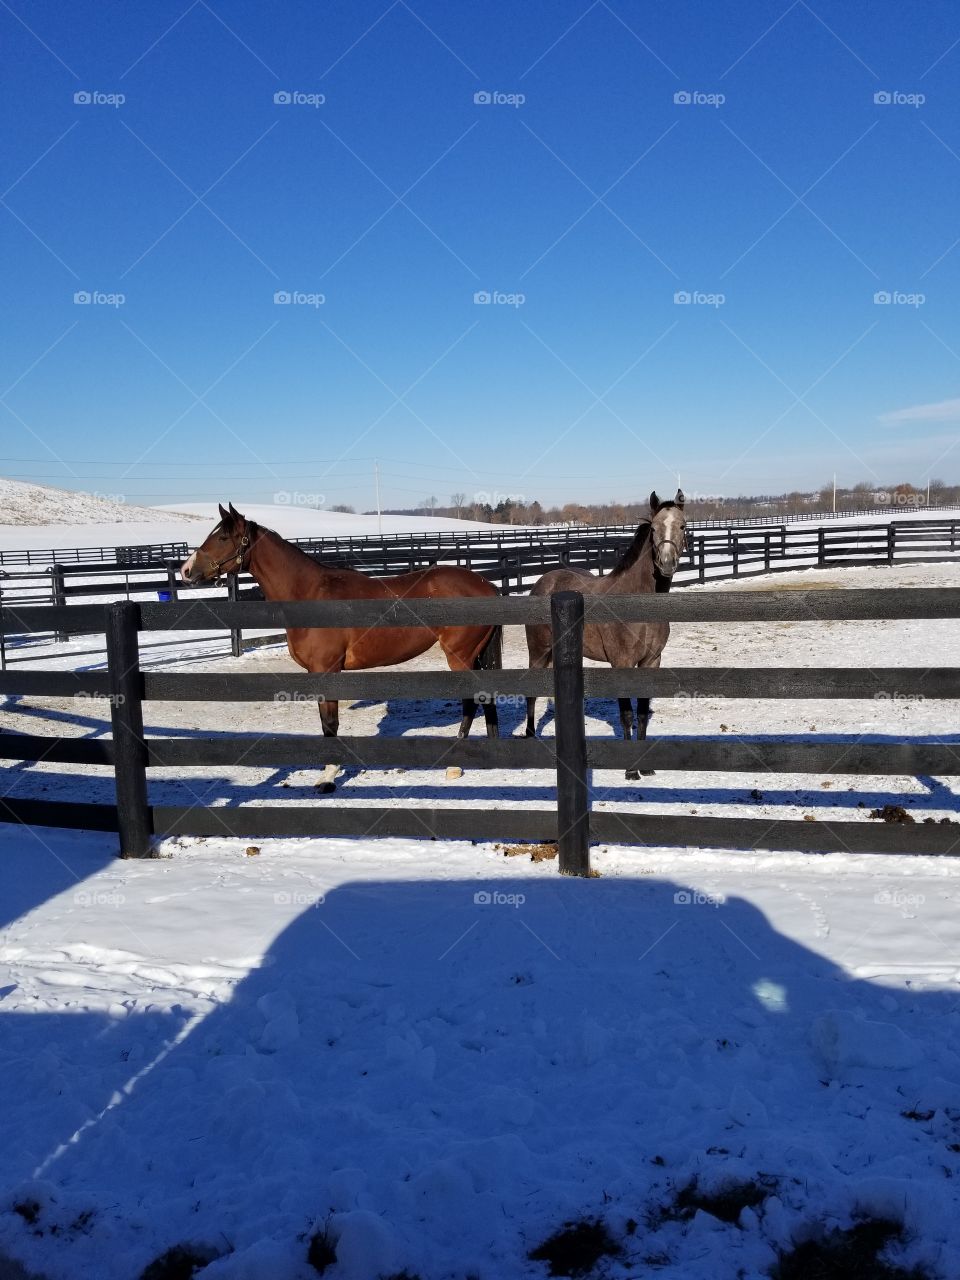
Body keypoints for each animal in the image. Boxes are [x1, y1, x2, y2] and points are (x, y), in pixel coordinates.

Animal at [179, 501, 504, 783]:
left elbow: (330, 724)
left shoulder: (327, 670)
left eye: (222, 537)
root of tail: (487, 586)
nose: (185, 570)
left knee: (470, 701)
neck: (310, 593)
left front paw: (328, 776)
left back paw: (454, 764)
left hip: (458, 656)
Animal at [522, 491, 686, 778]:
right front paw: (630, 770)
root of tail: (542, 583)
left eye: (683, 526)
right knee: (531, 693)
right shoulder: (621, 663)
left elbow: (642, 713)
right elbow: (627, 715)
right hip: (538, 651)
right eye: (654, 529)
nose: (667, 564)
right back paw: (531, 735)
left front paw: (646, 768)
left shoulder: (651, 662)